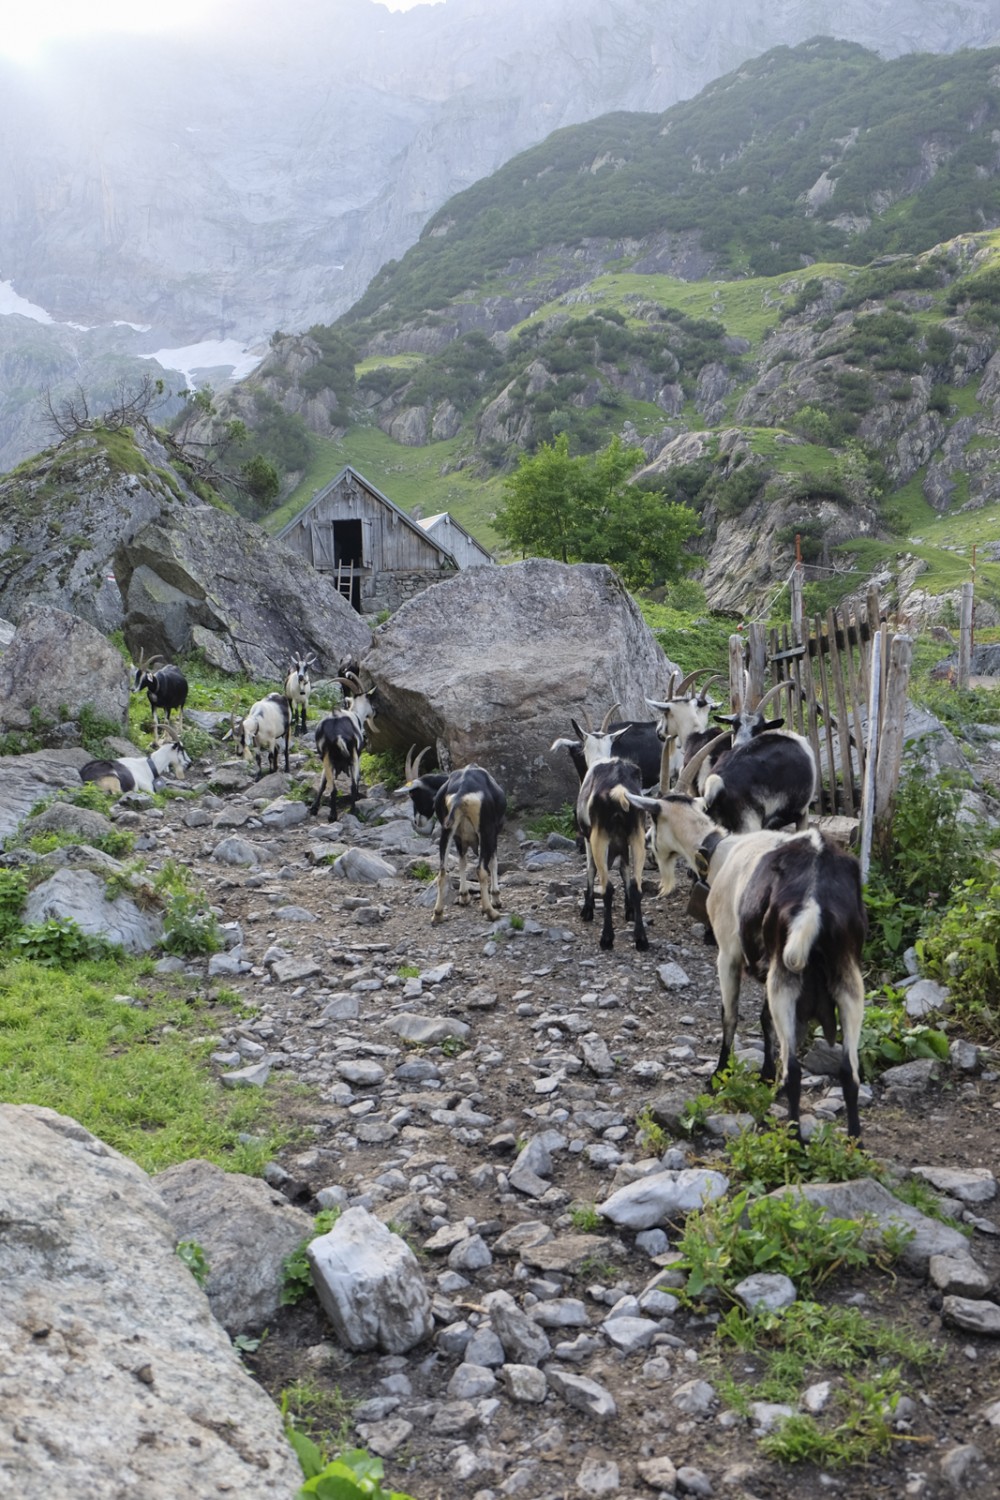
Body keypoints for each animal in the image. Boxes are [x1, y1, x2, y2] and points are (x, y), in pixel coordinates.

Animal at [310, 678, 377, 828]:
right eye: (370, 700)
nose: (375, 712)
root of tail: (338, 734)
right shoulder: (358, 755)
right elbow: (356, 780)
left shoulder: (325, 759)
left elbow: (323, 783)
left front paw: (314, 808)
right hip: (353, 756)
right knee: (352, 785)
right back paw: (352, 811)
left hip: (327, 757)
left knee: (332, 788)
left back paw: (332, 815)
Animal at [554, 711, 650, 948]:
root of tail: (619, 790)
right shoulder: (624, 841)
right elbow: (625, 871)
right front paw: (629, 911)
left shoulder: (589, 837)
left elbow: (590, 869)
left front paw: (587, 909)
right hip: (637, 835)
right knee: (637, 887)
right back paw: (641, 939)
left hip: (600, 837)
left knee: (607, 887)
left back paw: (607, 938)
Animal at [626, 798, 869, 1134]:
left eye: (652, 822)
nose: (648, 846)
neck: (719, 850)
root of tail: (814, 899)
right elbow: (765, 1019)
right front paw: (766, 1074)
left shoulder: (728, 954)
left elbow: (730, 1015)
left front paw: (719, 1074)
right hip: (846, 976)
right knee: (849, 1070)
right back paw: (853, 1140)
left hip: (786, 972)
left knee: (795, 1071)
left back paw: (794, 1139)